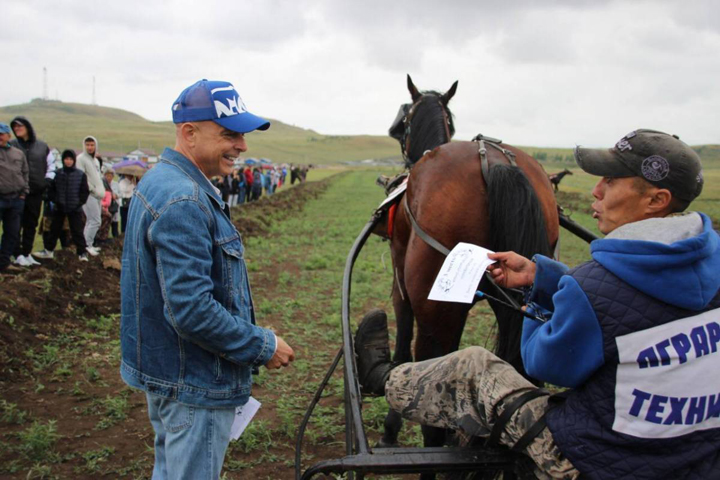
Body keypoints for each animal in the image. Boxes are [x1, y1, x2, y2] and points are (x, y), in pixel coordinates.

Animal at [380, 77, 560, 466]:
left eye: (405, 118)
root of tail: (495, 161)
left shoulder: (401, 279)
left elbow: (401, 338)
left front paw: (390, 428)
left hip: (435, 316)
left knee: (432, 416)